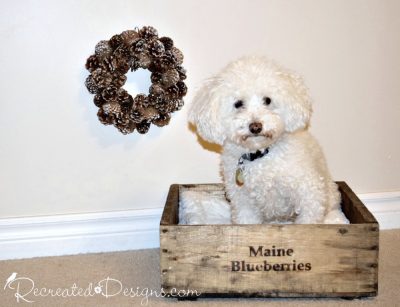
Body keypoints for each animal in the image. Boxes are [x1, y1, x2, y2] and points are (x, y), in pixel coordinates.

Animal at [189, 56, 348, 225]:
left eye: (267, 100)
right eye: (238, 104)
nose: (255, 126)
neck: (261, 156)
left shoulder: (310, 195)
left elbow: (308, 220)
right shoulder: (244, 203)